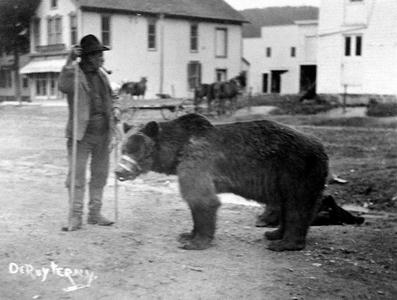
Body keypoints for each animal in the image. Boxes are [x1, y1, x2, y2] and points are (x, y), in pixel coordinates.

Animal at [114, 112, 328, 251]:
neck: (178, 150)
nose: (118, 171)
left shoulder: (197, 161)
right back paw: (275, 234)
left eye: (135, 150)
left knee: (297, 205)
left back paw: (284, 244)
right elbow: (195, 201)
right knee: (289, 204)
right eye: (123, 148)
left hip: (296, 169)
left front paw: (195, 242)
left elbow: (203, 199)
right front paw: (187, 234)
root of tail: (321, 146)